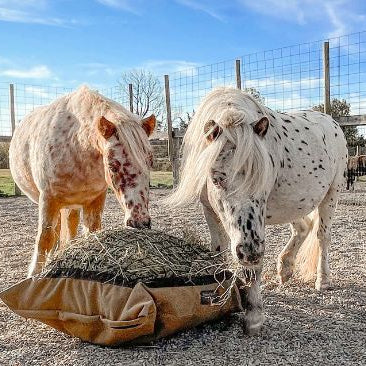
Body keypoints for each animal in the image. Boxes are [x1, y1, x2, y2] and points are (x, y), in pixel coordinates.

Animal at [9, 84, 156, 276]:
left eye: (150, 162)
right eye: (112, 166)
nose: (139, 222)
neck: (75, 145)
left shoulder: (95, 200)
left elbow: (90, 232)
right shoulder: (48, 199)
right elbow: (45, 239)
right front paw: (34, 274)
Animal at [167, 86, 348, 334]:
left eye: (265, 179)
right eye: (216, 179)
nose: (249, 252)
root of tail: (331, 121)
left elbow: (254, 268)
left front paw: (253, 316)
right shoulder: (210, 212)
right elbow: (219, 251)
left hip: (332, 193)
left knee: (322, 236)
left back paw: (323, 280)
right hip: (293, 203)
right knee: (302, 228)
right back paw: (285, 269)